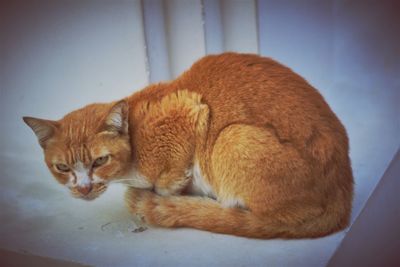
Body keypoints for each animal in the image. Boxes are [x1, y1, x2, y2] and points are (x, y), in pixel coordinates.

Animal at [23, 52, 354, 239]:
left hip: (231, 137)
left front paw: (164, 196)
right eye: (62, 167)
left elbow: (169, 179)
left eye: (99, 161)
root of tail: (343, 197)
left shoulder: (189, 109)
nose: (84, 188)